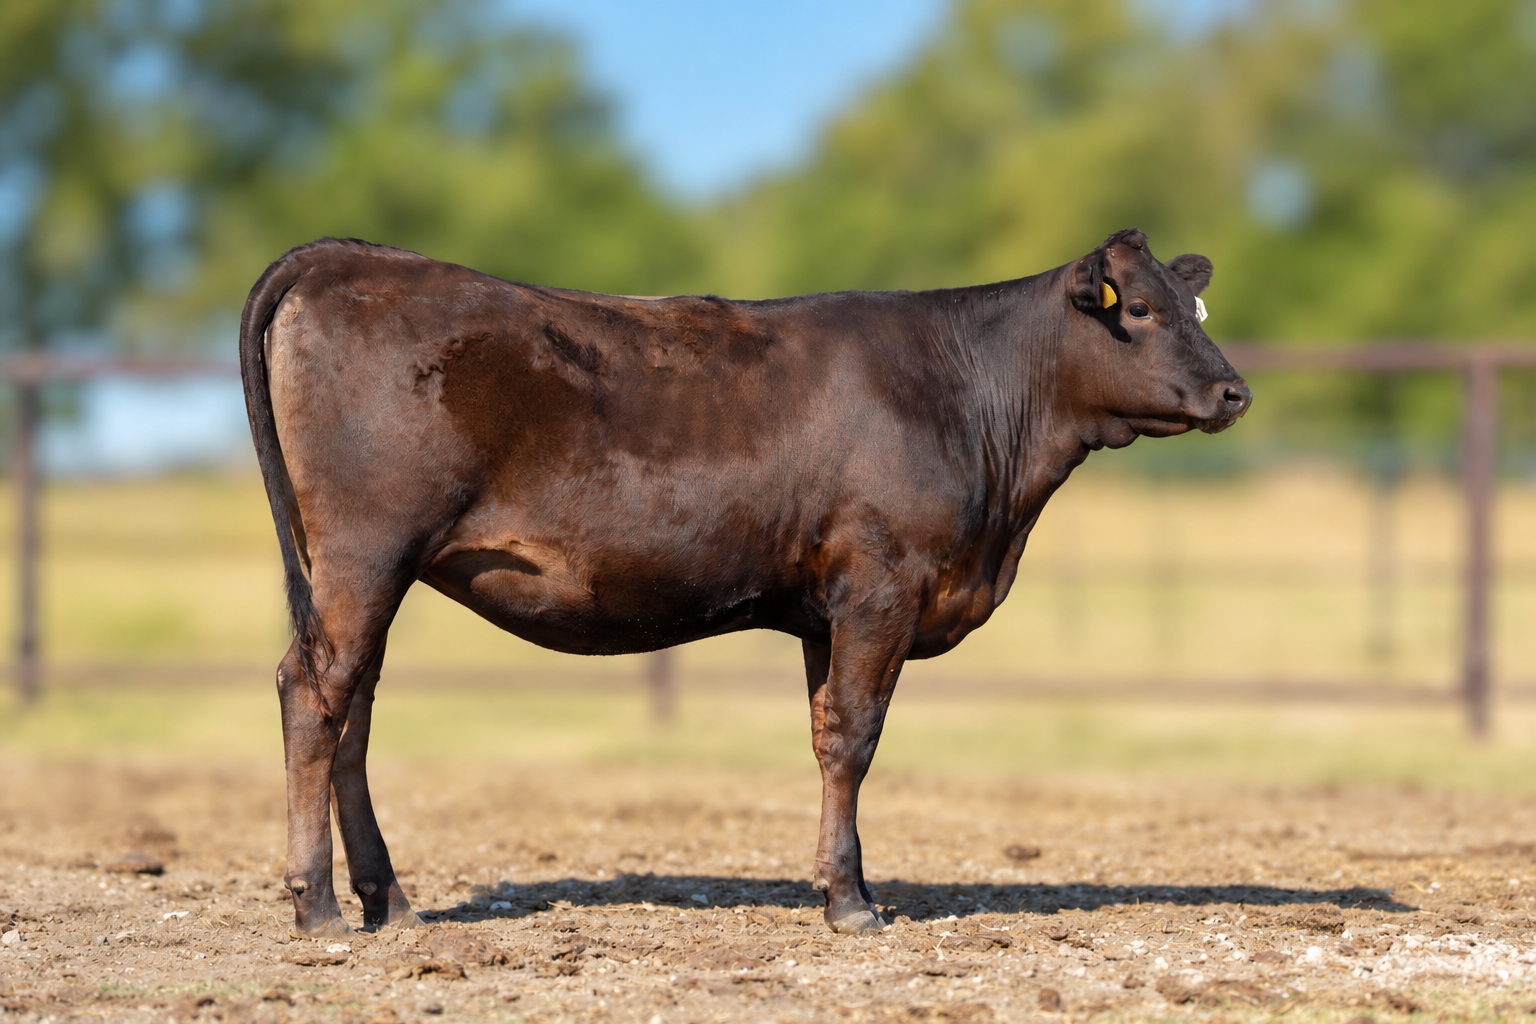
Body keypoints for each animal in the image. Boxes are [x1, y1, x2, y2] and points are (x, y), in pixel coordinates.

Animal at [239, 227, 1250, 938]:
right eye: (1141, 311)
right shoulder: (881, 585)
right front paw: (850, 902)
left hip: (361, 569)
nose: (1236, 392)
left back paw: (389, 900)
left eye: (1195, 308)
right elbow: (855, 737)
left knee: (354, 703)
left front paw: (851, 884)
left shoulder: (823, 612)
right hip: (368, 549)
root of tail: (348, 256)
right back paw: (318, 905)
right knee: (312, 693)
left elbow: (825, 731)